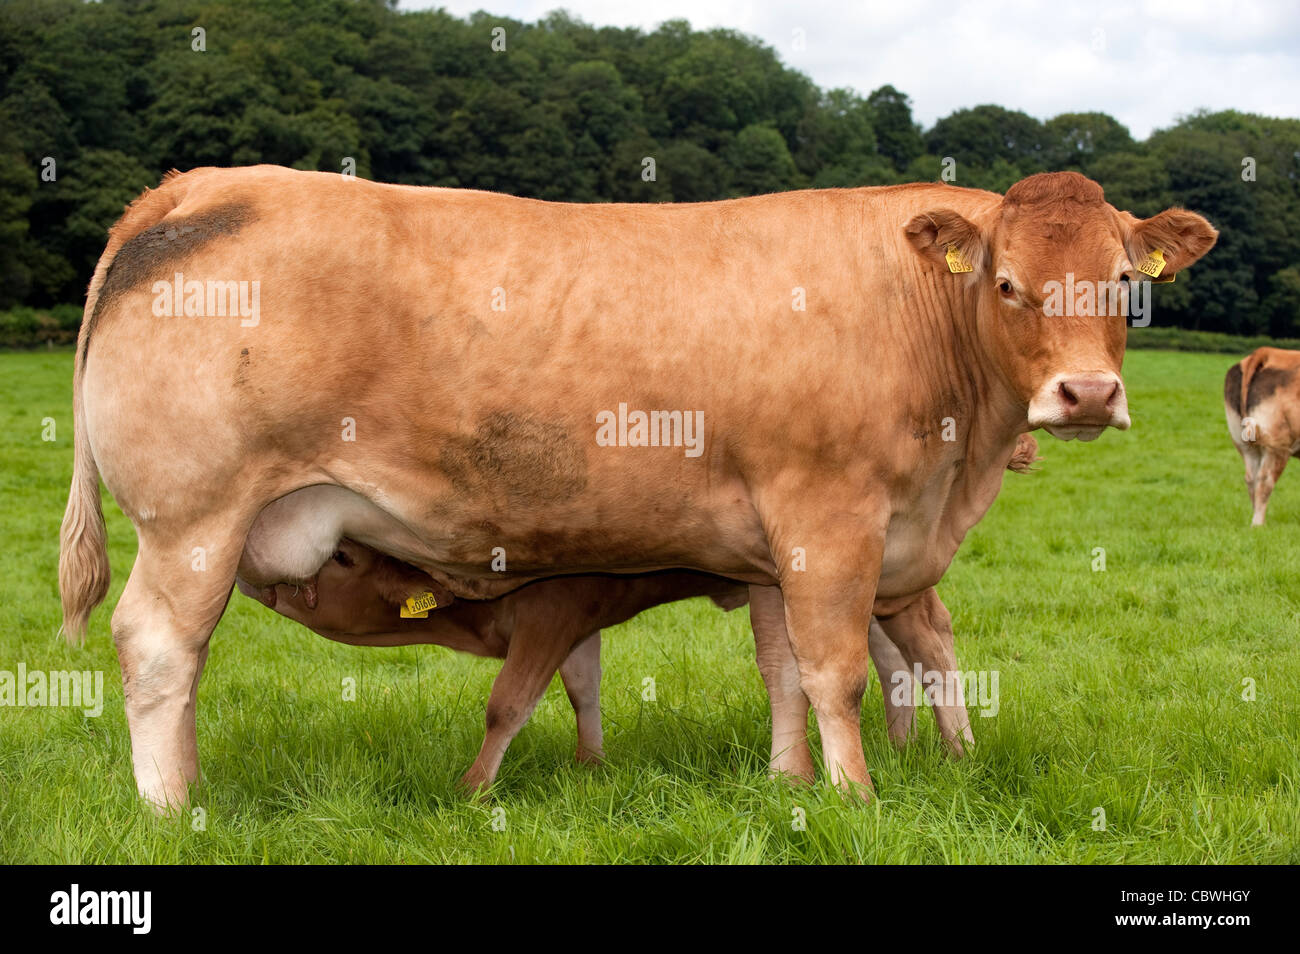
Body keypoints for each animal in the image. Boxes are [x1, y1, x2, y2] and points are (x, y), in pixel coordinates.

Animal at [241, 432, 1044, 792]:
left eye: (343, 560)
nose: (261, 584)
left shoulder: (551, 612)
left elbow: (508, 703)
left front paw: (472, 789)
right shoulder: (573, 624)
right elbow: (582, 689)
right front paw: (590, 764)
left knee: (932, 644)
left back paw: (959, 752)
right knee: (885, 656)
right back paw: (904, 747)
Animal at [1225, 348, 1300, 525]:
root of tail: (1267, 352)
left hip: (1244, 443)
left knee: (1251, 479)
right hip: (1277, 445)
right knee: (1265, 481)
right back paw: (1258, 523)